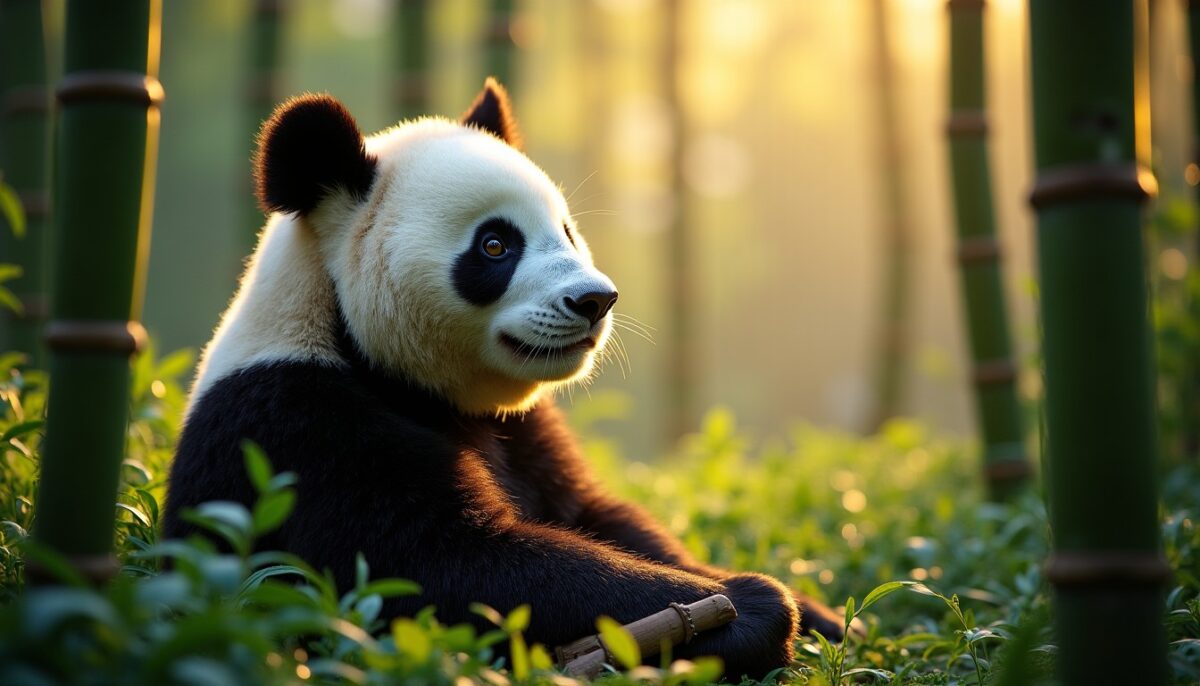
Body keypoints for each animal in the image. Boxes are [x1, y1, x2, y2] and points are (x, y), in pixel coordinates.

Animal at [164, 79, 842, 679]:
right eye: (494, 245)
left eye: (566, 230)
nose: (595, 300)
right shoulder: (297, 428)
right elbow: (449, 566)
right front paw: (748, 608)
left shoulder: (524, 430)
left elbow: (598, 515)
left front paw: (819, 615)